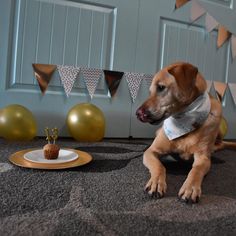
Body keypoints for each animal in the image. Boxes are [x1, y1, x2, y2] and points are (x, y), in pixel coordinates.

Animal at [136, 61, 236, 204]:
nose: (137, 114)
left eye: (161, 87)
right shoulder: (151, 151)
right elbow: (159, 166)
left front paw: (191, 188)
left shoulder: (203, 158)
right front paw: (156, 183)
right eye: (150, 91)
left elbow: (196, 170)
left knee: (221, 144)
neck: (184, 119)